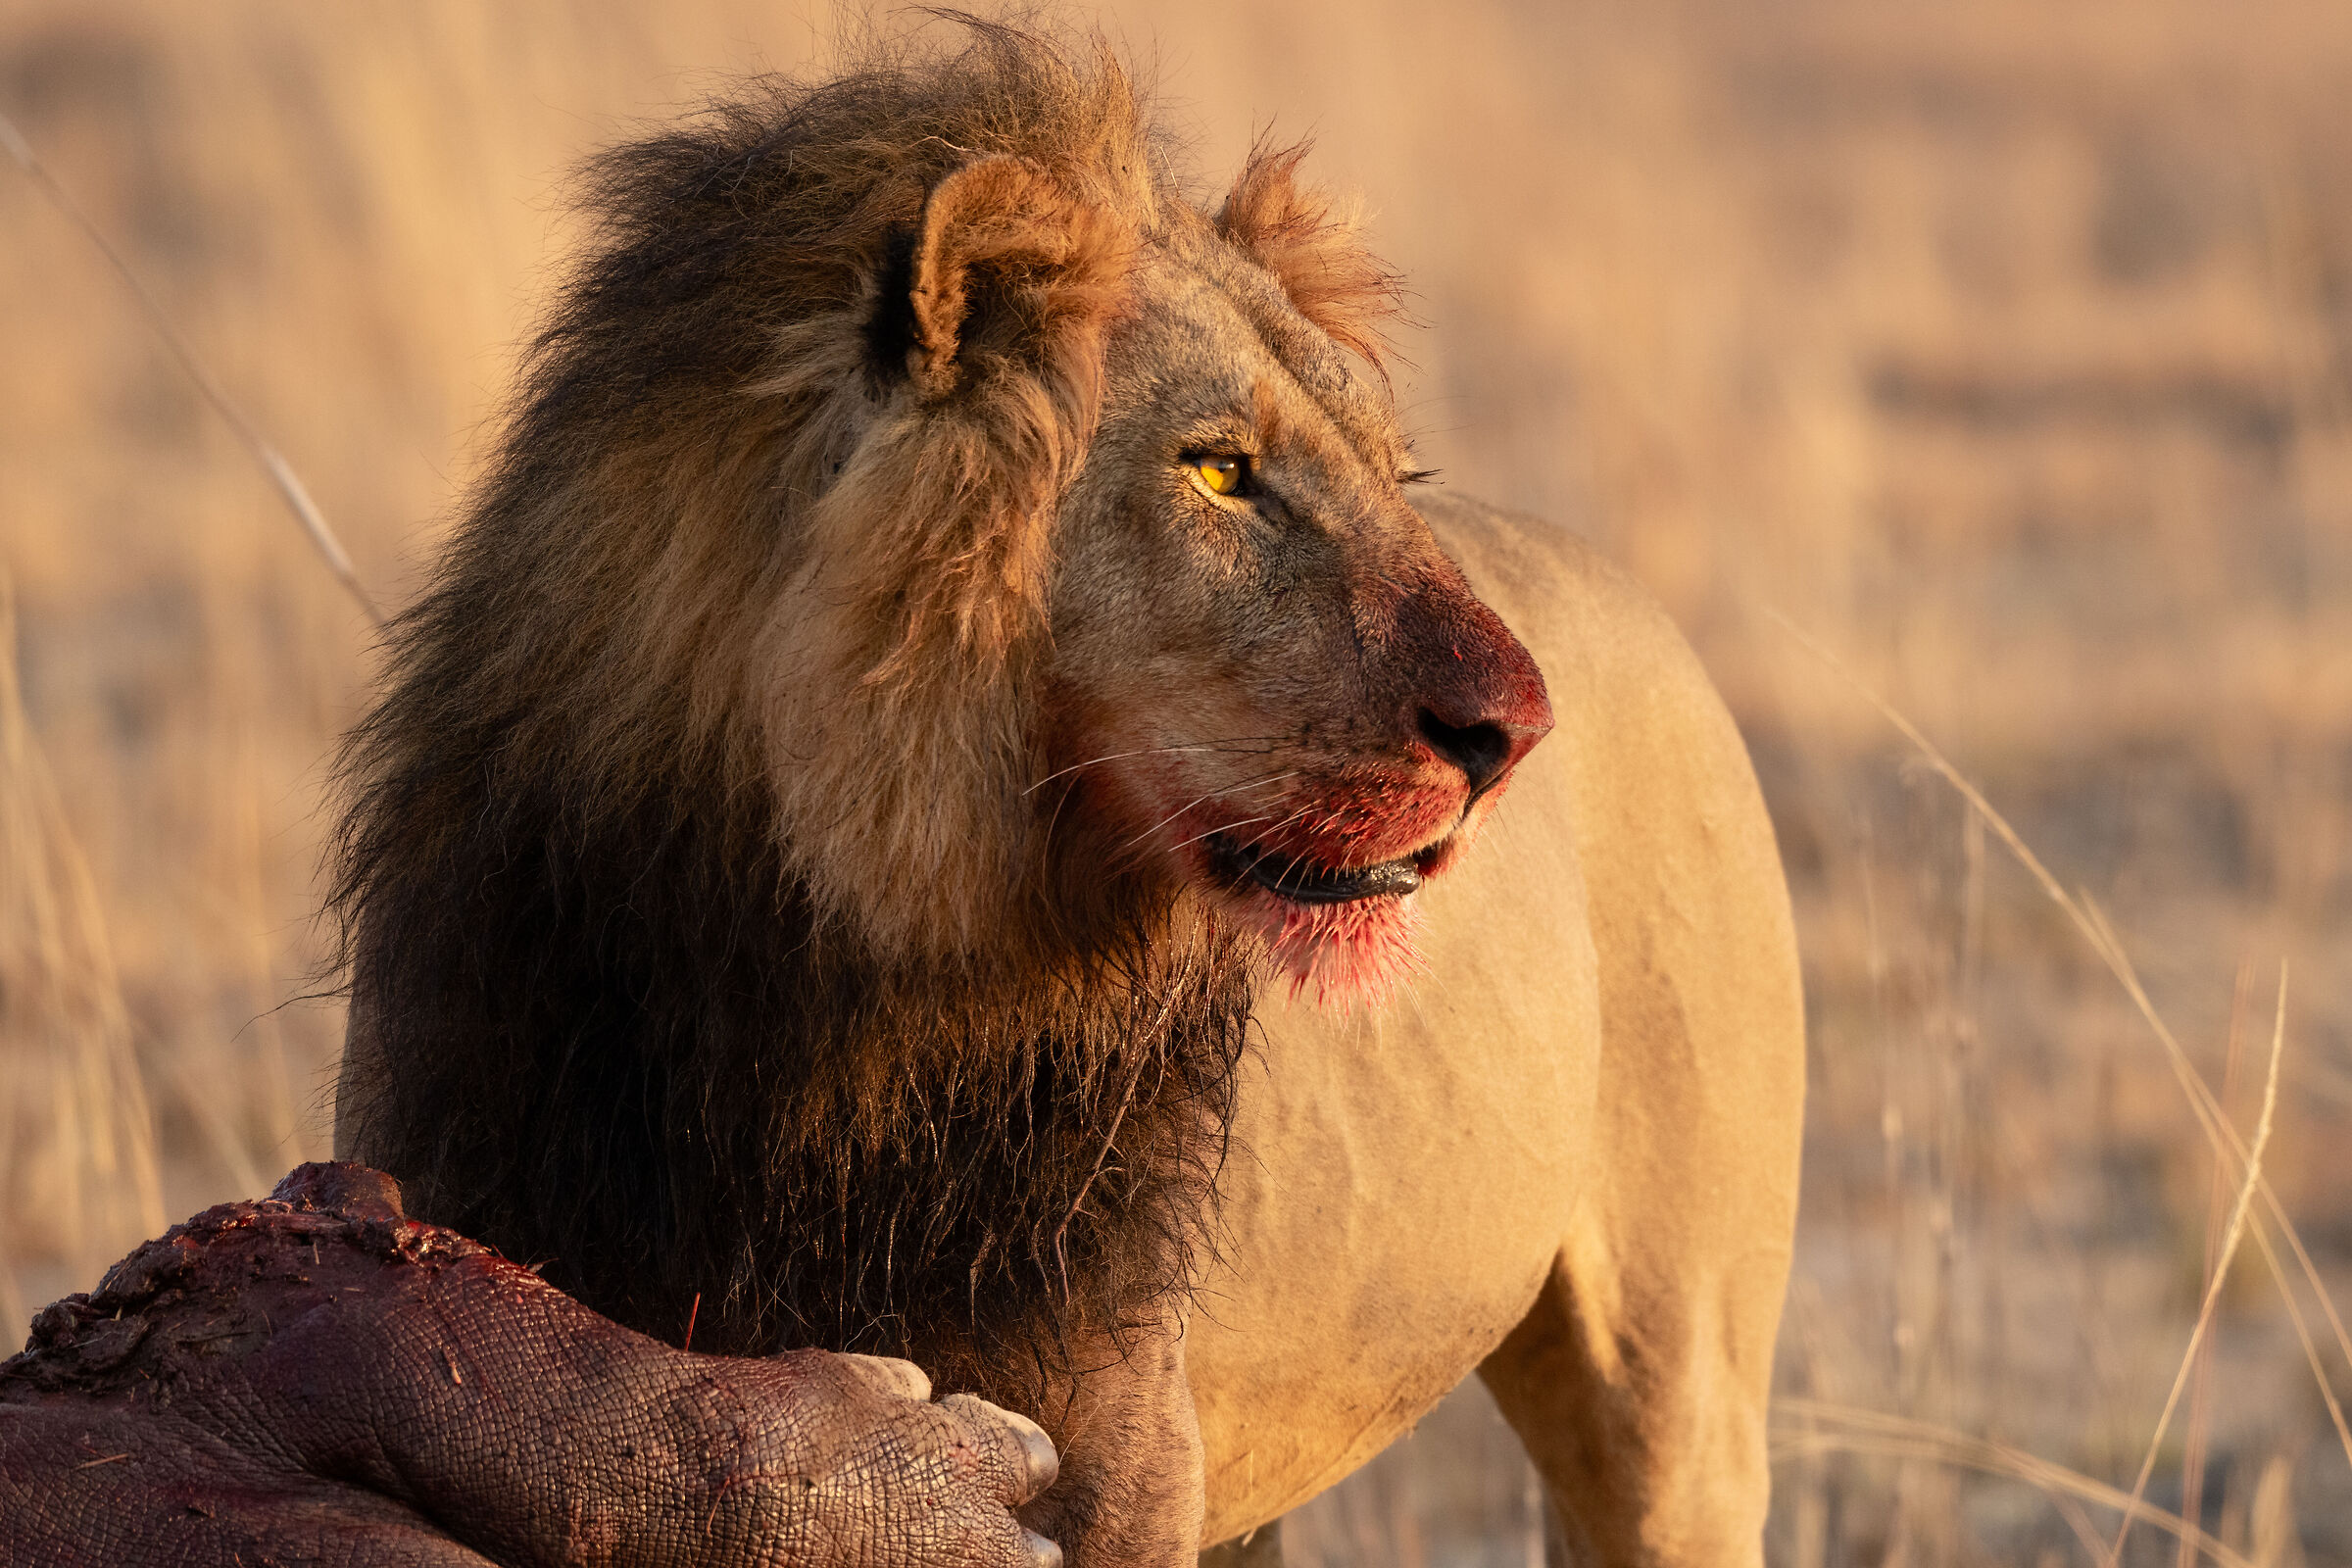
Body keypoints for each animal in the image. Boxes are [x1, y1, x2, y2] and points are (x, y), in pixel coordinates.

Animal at [331, 26, 1805, 1568]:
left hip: (1673, 1389)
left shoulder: (1117, 1448)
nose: (1514, 732)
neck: (822, 983)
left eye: (1395, 474)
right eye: (1219, 469)